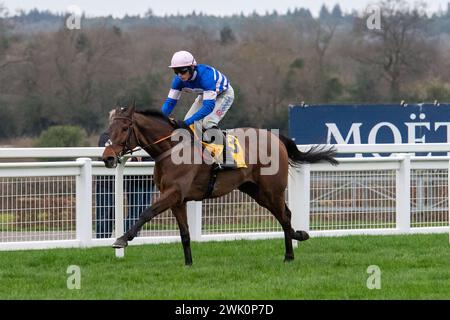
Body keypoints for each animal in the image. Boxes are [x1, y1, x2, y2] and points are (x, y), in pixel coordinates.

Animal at [102, 105, 338, 264]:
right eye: (109, 128)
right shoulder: (177, 199)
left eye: (125, 128)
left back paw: (291, 251)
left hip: (272, 190)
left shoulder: (173, 192)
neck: (171, 149)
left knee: (285, 216)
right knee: (284, 216)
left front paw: (121, 239)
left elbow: (146, 213)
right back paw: (296, 241)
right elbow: (185, 233)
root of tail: (277, 138)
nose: (108, 158)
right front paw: (188, 264)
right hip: (255, 191)